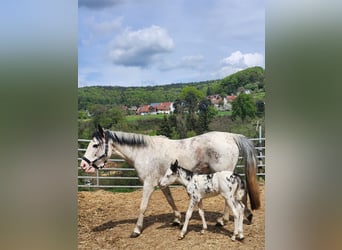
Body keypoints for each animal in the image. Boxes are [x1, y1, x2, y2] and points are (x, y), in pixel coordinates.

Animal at [80, 126, 260, 237]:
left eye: (95, 145)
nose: (83, 165)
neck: (144, 153)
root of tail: (231, 136)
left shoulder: (148, 184)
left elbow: (143, 207)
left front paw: (136, 230)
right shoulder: (161, 183)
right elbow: (170, 200)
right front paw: (177, 219)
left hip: (223, 176)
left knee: (229, 201)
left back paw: (223, 221)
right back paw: (243, 216)